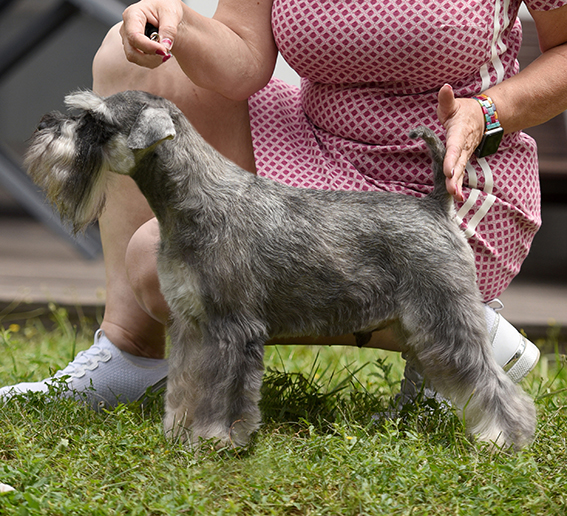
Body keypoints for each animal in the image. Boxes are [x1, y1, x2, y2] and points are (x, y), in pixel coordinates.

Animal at [25, 90, 536, 450]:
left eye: (95, 120)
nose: (44, 123)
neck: (192, 199)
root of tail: (435, 205)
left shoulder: (232, 329)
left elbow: (224, 392)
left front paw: (215, 439)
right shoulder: (192, 325)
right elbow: (187, 384)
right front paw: (179, 432)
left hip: (444, 315)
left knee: (492, 382)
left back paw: (506, 437)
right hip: (421, 325)